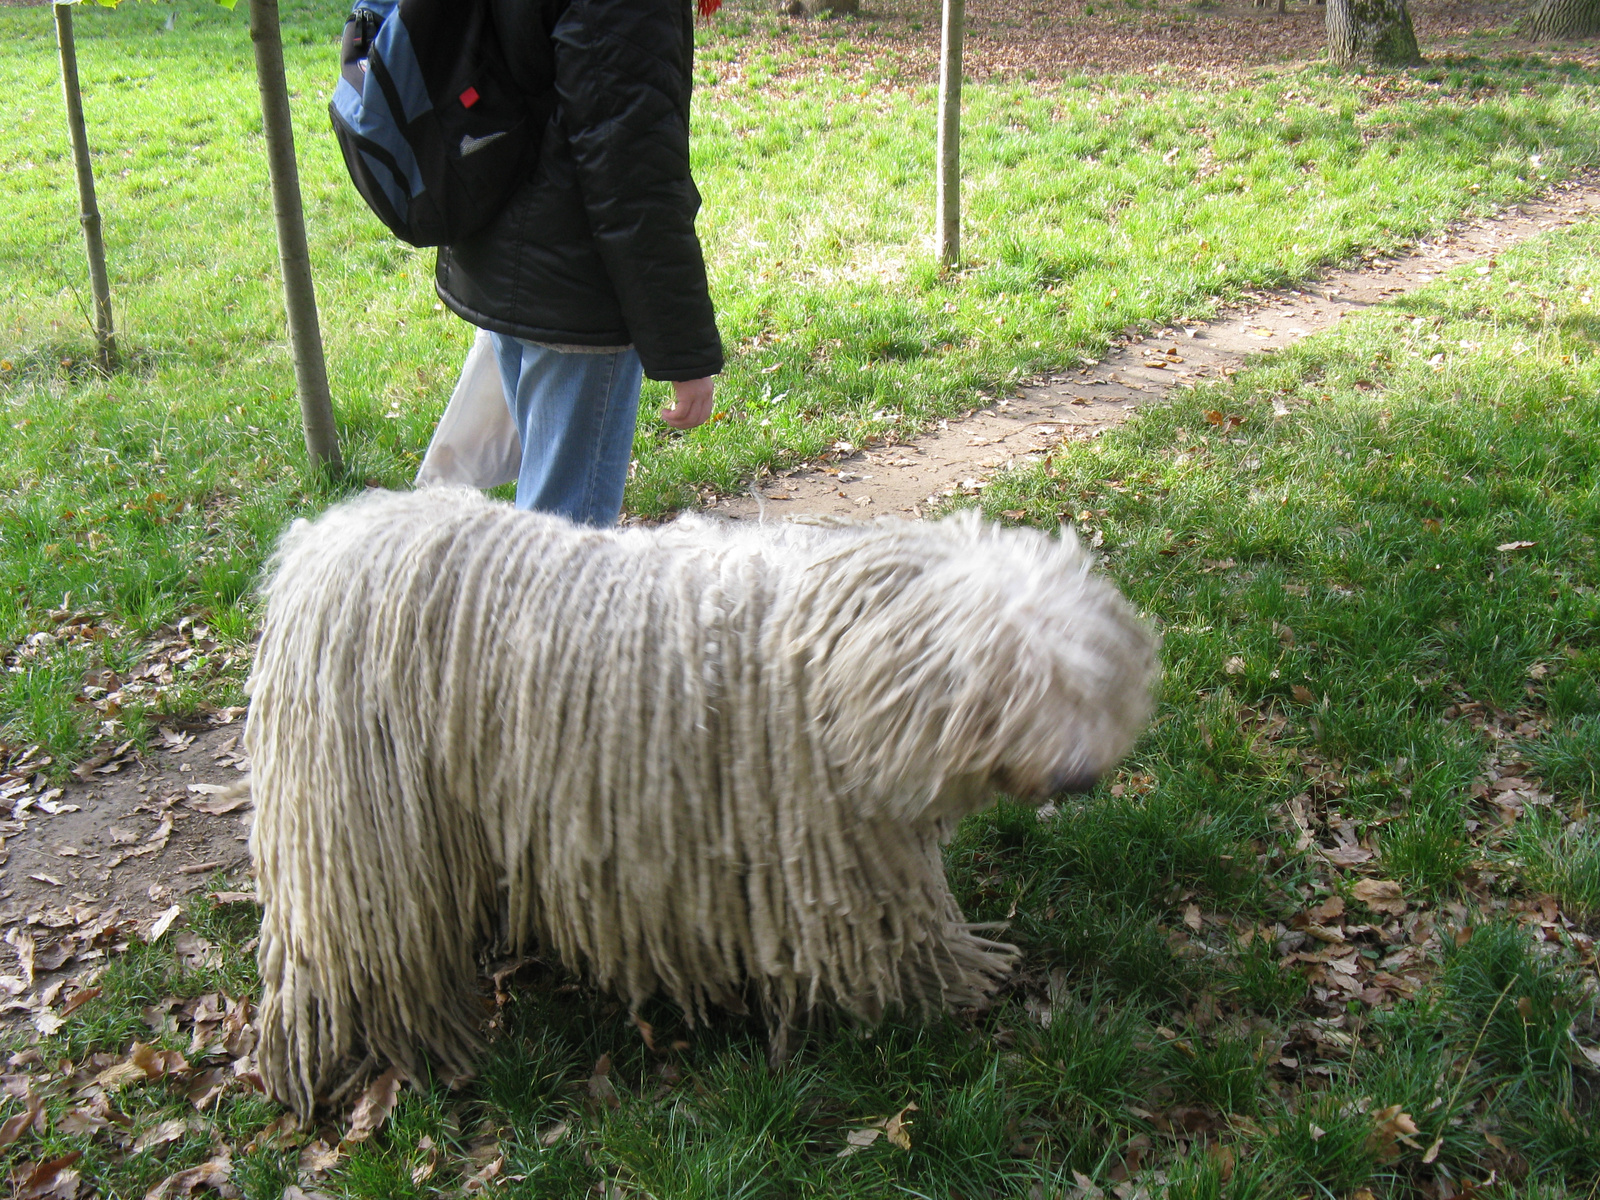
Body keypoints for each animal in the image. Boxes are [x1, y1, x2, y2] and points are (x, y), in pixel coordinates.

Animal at [243, 486, 1158, 1120]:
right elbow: (897, 941)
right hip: (364, 830)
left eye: (1088, 679)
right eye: (1013, 685)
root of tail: (319, 546)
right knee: (349, 958)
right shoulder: (838, 855)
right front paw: (946, 993)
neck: (839, 659)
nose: (1079, 776)